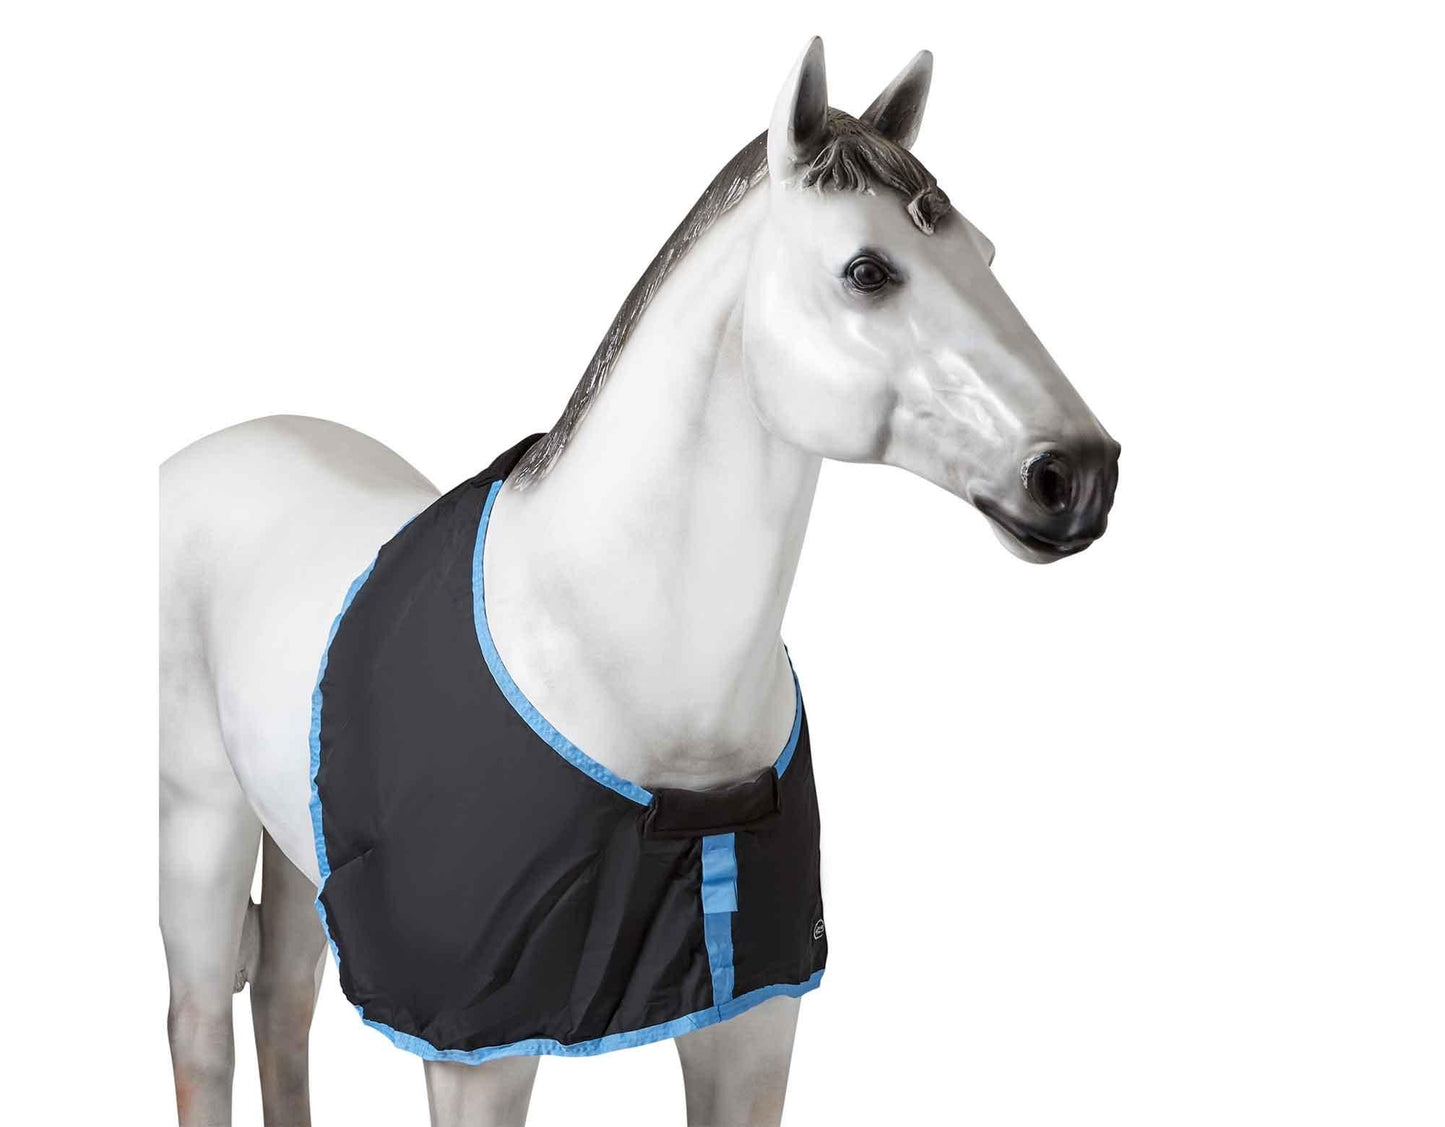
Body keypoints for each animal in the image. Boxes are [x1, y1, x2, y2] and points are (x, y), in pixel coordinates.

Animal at [159, 37, 1119, 1127]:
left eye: (986, 256)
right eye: (867, 271)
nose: (1079, 474)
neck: (612, 650)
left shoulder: (751, 1017)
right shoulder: (476, 1046)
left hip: (304, 846)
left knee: (280, 1004)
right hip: (200, 823)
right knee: (203, 1030)